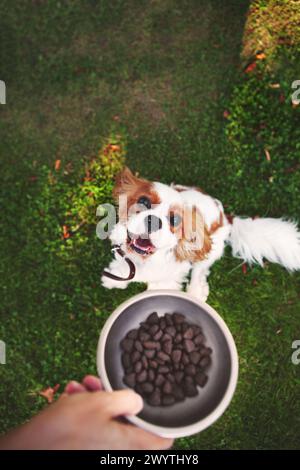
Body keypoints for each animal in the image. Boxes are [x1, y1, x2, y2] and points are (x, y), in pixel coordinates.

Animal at [101, 167, 300, 302]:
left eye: (175, 220)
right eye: (143, 201)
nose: (153, 220)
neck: (145, 260)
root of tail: (226, 217)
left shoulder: (170, 276)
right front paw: (115, 278)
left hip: (209, 249)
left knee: (200, 270)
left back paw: (196, 292)